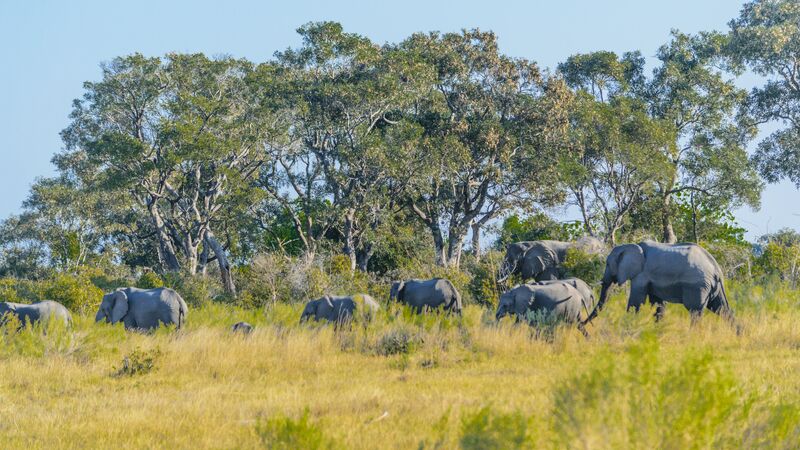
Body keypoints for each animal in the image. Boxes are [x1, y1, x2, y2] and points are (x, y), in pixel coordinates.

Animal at [581, 241, 735, 328]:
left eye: (607, 264)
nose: (581, 323)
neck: (632, 246)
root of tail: (716, 269)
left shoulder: (641, 274)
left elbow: (636, 302)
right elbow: (657, 305)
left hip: (697, 286)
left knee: (695, 312)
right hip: (712, 287)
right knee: (723, 310)